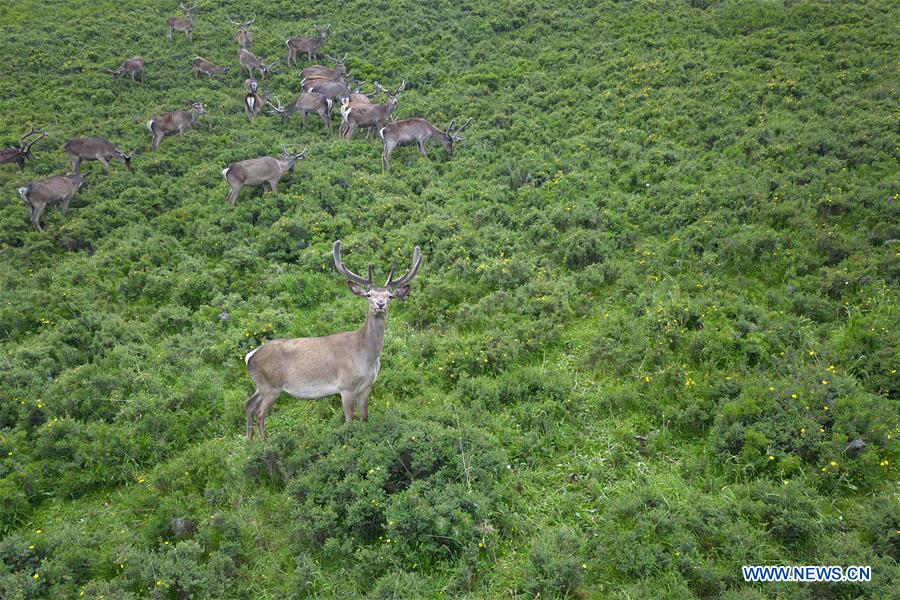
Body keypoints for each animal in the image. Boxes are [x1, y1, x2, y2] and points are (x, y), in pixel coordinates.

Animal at [243, 240, 426, 440]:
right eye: (368, 295)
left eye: (390, 296)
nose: (380, 304)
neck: (366, 356)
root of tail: (250, 356)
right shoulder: (346, 386)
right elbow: (349, 420)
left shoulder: (366, 387)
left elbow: (365, 417)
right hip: (271, 386)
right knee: (260, 413)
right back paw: (264, 443)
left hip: (261, 385)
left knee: (248, 404)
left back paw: (250, 440)